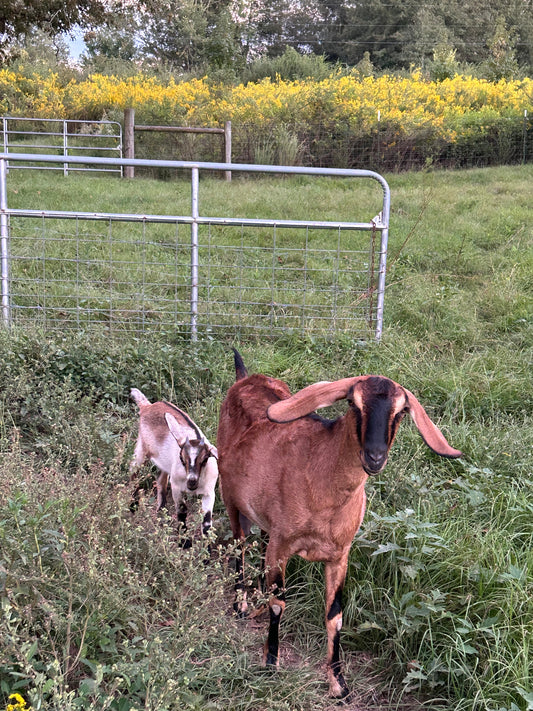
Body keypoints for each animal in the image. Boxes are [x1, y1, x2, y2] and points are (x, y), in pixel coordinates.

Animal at [129, 390, 218, 540]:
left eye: (205, 459)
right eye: (182, 459)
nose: (192, 482)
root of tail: (147, 406)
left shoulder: (209, 492)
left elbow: (206, 520)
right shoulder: (177, 487)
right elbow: (182, 512)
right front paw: (184, 541)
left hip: (163, 463)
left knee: (160, 481)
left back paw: (161, 513)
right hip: (142, 448)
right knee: (133, 470)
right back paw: (133, 506)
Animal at [216, 350, 462, 696]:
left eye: (401, 412)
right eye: (354, 404)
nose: (374, 457)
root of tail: (246, 377)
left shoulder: (340, 555)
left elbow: (335, 615)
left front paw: (339, 684)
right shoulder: (282, 544)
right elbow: (280, 602)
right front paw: (270, 664)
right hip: (231, 499)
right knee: (238, 547)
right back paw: (240, 606)